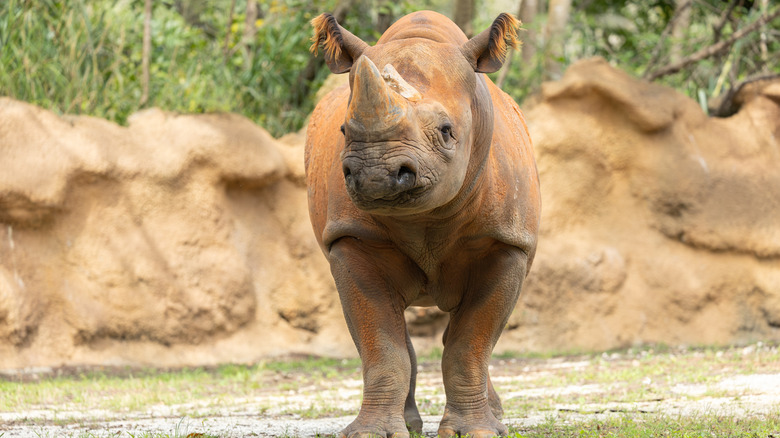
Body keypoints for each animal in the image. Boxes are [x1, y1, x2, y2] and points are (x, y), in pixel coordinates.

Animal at [305, 10, 541, 438]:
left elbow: (470, 342)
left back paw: (495, 417)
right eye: (344, 130)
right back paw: (411, 423)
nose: (376, 175)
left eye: (447, 132)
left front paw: (475, 431)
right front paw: (372, 432)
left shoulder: (507, 242)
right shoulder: (350, 238)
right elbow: (382, 343)